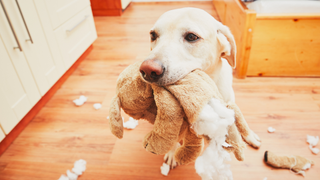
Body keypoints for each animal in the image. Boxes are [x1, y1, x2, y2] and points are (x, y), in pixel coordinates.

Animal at [139, 7, 262, 169]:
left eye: (191, 36)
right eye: (153, 35)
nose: (147, 70)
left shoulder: (229, 103)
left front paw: (248, 135)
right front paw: (172, 152)